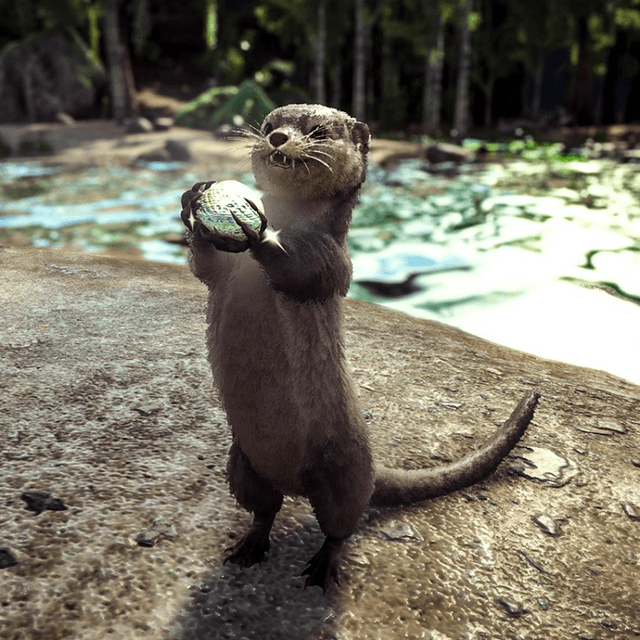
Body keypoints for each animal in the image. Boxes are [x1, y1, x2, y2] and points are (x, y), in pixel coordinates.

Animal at [180, 104, 539, 592]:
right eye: (270, 122)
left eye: (316, 130)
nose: (276, 138)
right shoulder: (223, 272)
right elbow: (205, 266)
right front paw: (193, 202)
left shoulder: (331, 254)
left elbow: (305, 274)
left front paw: (255, 231)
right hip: (243, 462)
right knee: (265, 507)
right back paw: (250, 545)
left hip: (341, 470)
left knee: (341, 523)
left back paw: (323, 568)